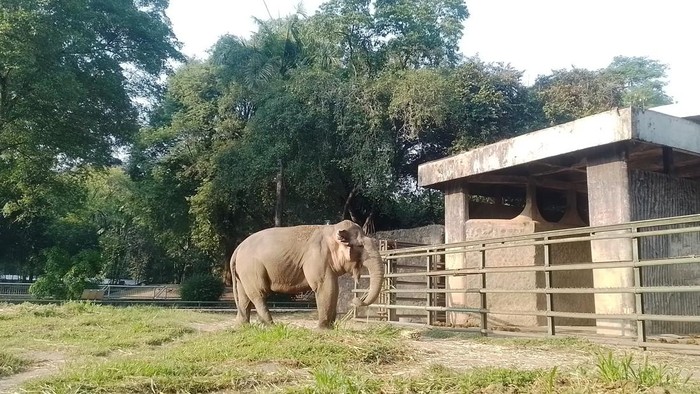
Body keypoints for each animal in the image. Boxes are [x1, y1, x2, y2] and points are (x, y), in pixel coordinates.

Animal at [228, 220, 382, 328]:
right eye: (360, 246)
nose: (356, 300)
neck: (332, 229)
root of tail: (237, 249)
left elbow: (335, 288)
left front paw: (330, 328)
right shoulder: (316, 257)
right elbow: (325, 286)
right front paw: (323, 329)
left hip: (243, 273)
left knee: (245, 297)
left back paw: (242, 327)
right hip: (251, 268)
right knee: (258, 294)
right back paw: (271, 326)